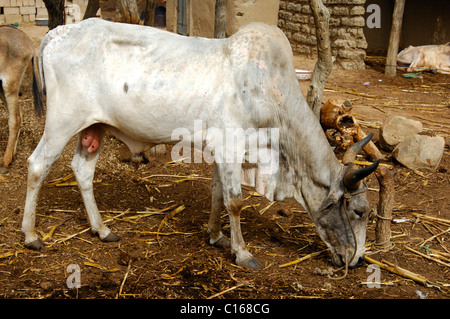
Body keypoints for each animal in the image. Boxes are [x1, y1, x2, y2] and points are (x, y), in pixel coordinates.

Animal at [22, 18, 378, 270]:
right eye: (359, 211)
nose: (359, 259)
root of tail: (57, 32)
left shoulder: (220, 149)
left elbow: (218, 192)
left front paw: (216, 236)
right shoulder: (232, 147)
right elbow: (235, 201)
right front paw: (242, 252)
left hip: (94, 128)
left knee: (82, 170)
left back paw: (102, 230)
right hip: (62, 122)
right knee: (37, 165)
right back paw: (31, 235)